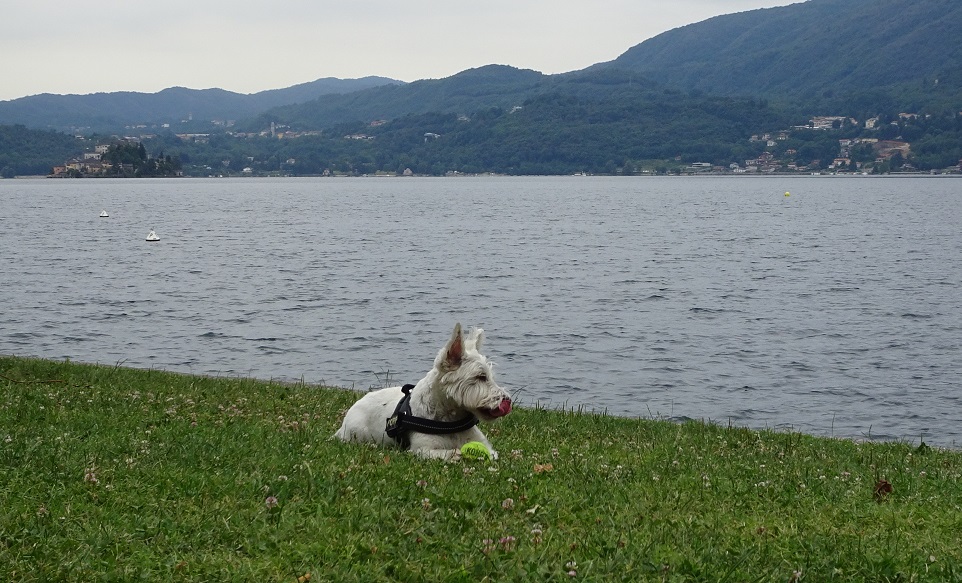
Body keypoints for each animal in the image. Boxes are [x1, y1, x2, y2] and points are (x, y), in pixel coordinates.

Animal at [334, 324, 510, 460]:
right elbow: (447, 453)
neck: (449, 419)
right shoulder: (422, 449)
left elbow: (490, 453)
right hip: (357, 433)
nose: (507, 400)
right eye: (480, 377)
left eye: (490, 376)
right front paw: (455, 455)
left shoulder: (484, 445)